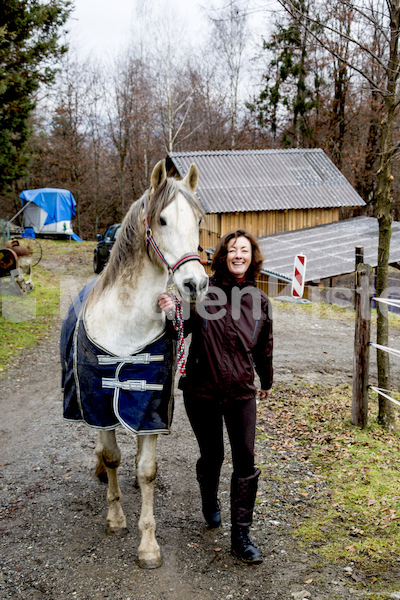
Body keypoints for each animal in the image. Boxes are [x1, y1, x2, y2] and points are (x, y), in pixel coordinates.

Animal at [61, 159, 209, 568]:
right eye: (162, 219)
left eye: (199, 220)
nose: (195, 283)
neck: (125, 325)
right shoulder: (97, 402)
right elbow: (112, 456)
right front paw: (115, 519)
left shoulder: (150, 412)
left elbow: (146, 471)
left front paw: (148, 545)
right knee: (102, 447)